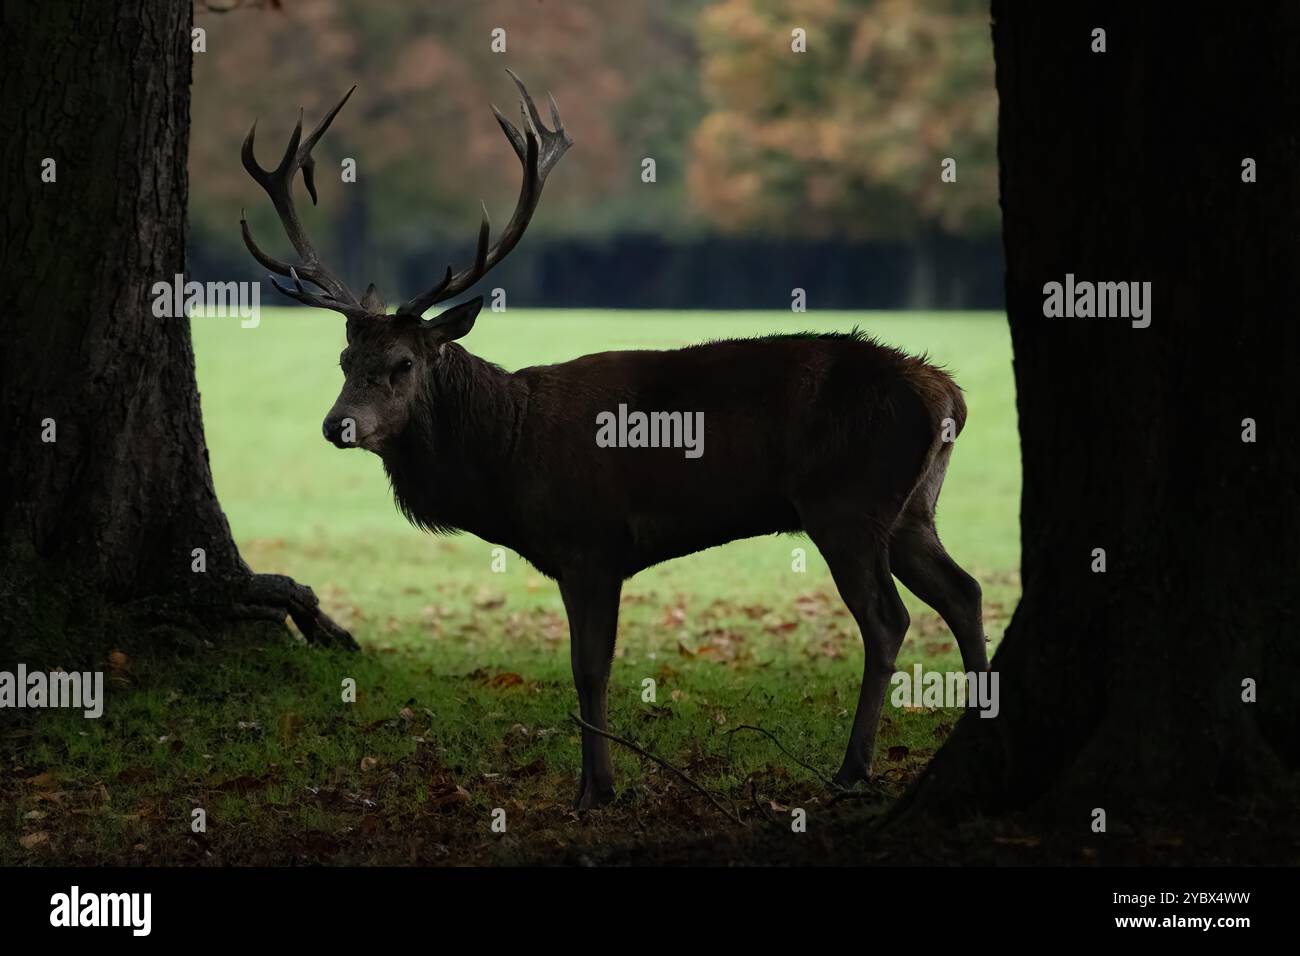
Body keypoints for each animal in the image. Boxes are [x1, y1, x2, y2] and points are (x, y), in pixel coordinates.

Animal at [241, 70, 982, 811]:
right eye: (344, 361)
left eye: (402, 363)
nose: (338, 424)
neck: (510, 454)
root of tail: (950, 395)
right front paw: (595, 783)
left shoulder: (591, 542)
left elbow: (589, 667)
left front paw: (597, 788)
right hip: (912, 509)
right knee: (964, 590)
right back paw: (971, 723)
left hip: (846, 504)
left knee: (887, 621)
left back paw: (852, 770)